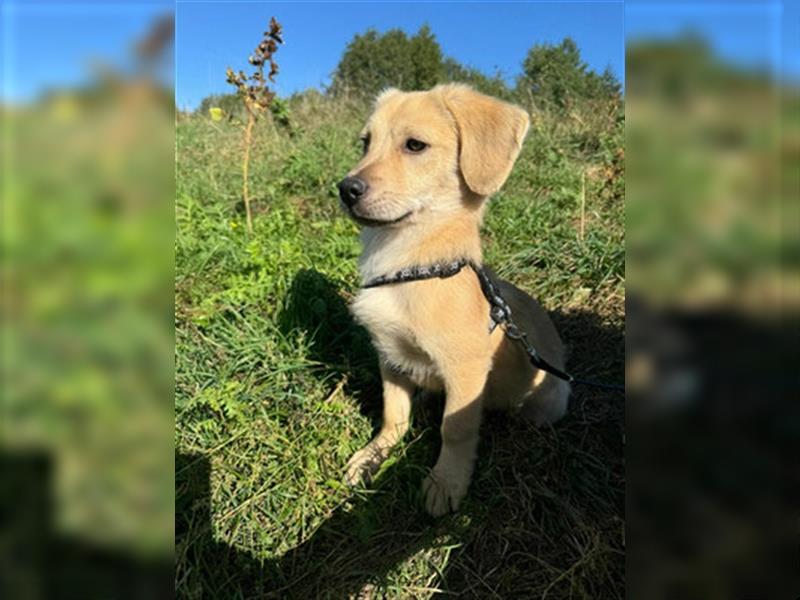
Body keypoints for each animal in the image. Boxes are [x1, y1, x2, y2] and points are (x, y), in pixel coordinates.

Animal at [338, 83, 568, 516]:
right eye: (365, 143)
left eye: (415, 145)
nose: (345, 190)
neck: (411, 267)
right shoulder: (389, 355)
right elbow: (393, 413)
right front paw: (374, 455)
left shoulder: (465, 370)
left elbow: (456, 428)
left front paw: (447, 482)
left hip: (546, 404)